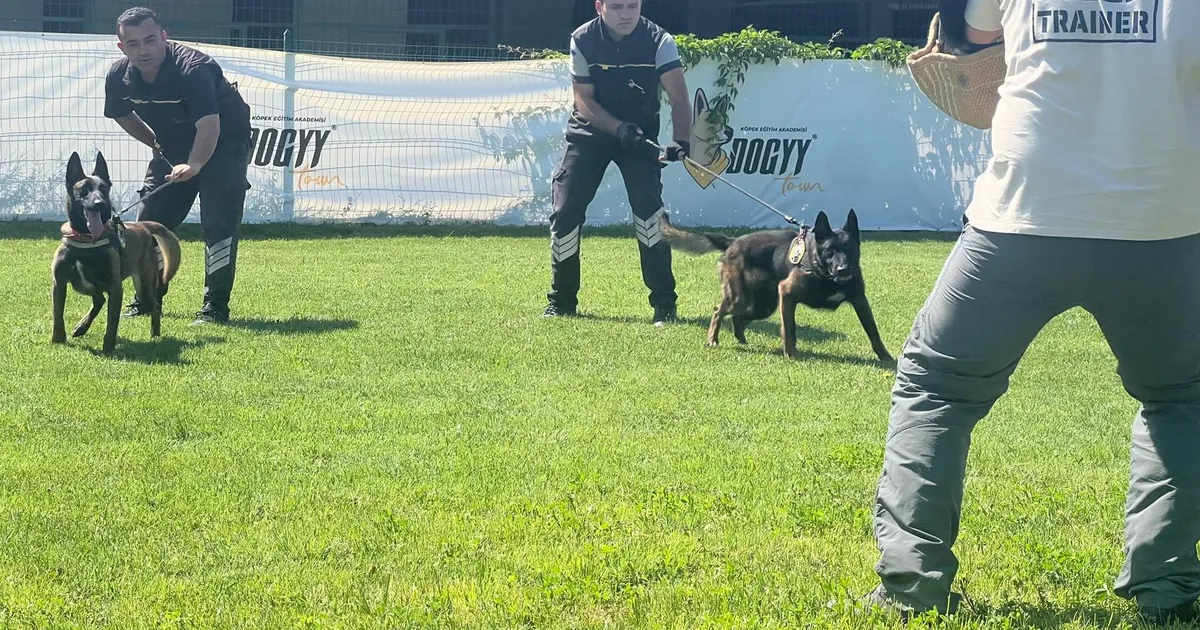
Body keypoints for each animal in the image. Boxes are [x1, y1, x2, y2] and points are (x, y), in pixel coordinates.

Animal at [51, 150, 180, 350]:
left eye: (104, 189)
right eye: (84, 190)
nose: (100, 203)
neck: (87, 240)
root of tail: (143, 226)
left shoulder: (115, 289)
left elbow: (112, 322)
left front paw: (108, 349)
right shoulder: (59, 283)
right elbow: (58, 316)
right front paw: (58, 340)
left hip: (143, 287)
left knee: (154, 307)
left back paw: (155, 335)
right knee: (99, 300)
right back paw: (81, 327)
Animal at [662, 208, 897, 360]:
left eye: (849, 249)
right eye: (829, 251)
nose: (843, 270)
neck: (823, 274)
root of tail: (733, 241)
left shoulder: (860, 301)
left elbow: (873, 331)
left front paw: (885, 357)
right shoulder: (787, 294)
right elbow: (790, 329)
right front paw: (791, 354)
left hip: (762, 305)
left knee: (739, 317)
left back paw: (741, 338)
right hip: (742, 298)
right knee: (718, 311)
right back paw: (712, 339)